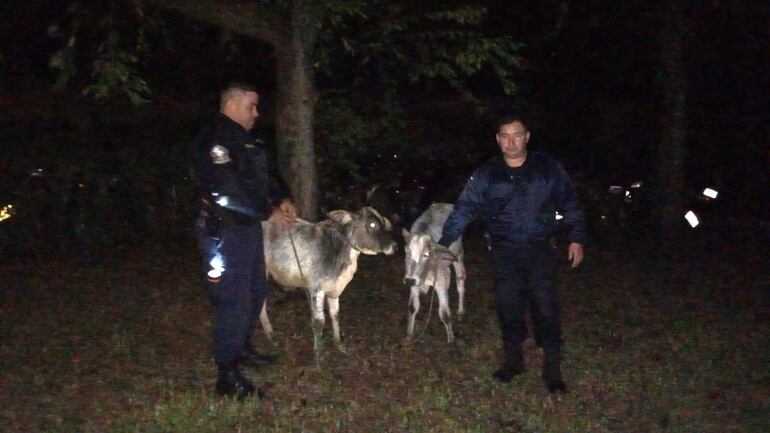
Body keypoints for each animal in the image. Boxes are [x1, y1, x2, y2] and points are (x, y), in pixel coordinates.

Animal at [262, 206, 396, 358]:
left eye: (383, 223)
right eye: (372, 224)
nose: (395, 246)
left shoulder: (334, 289)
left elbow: (335, 315)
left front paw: (339, 345)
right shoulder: (316, 288)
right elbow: (319, 321)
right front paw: (319, 354)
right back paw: (271, 334)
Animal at [400, 202, 464, 340]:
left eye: (426, 254)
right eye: (406, 251)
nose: (409, 280)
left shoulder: (441, 282)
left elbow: (445, 314)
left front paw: (451, 339)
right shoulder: (413, 282)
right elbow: (413, 307)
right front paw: (409, 334)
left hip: (459, 255)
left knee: (460, 281)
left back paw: (461, 311)